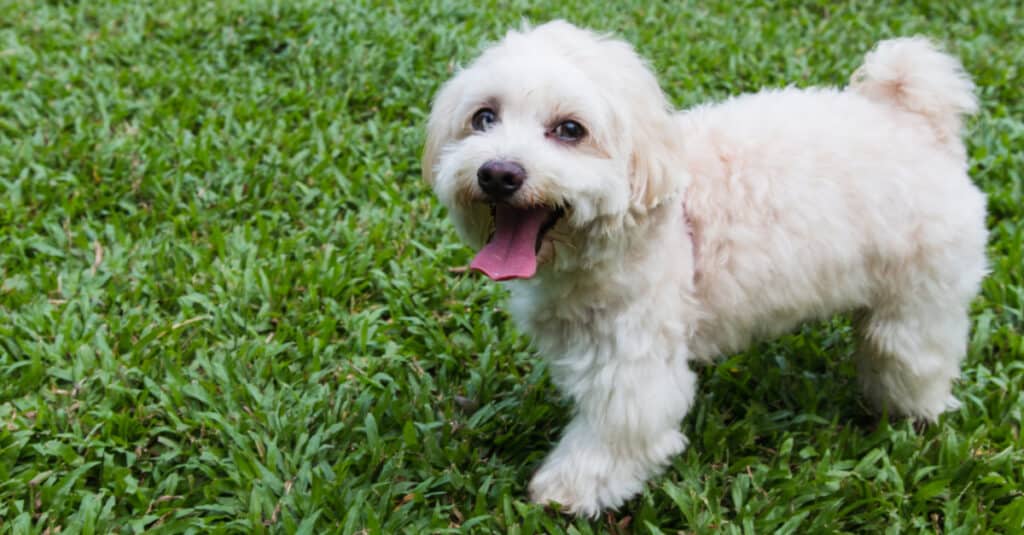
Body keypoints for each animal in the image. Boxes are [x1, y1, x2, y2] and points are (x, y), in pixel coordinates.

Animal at [421, 21, 983, 516]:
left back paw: (913, 413)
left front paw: (569, 490)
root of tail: (917, 122)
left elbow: (618, 431)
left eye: (570, 130)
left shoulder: (634, 359)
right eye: (484, 118)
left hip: (918, 297)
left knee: (913, 357)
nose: (498, 173)